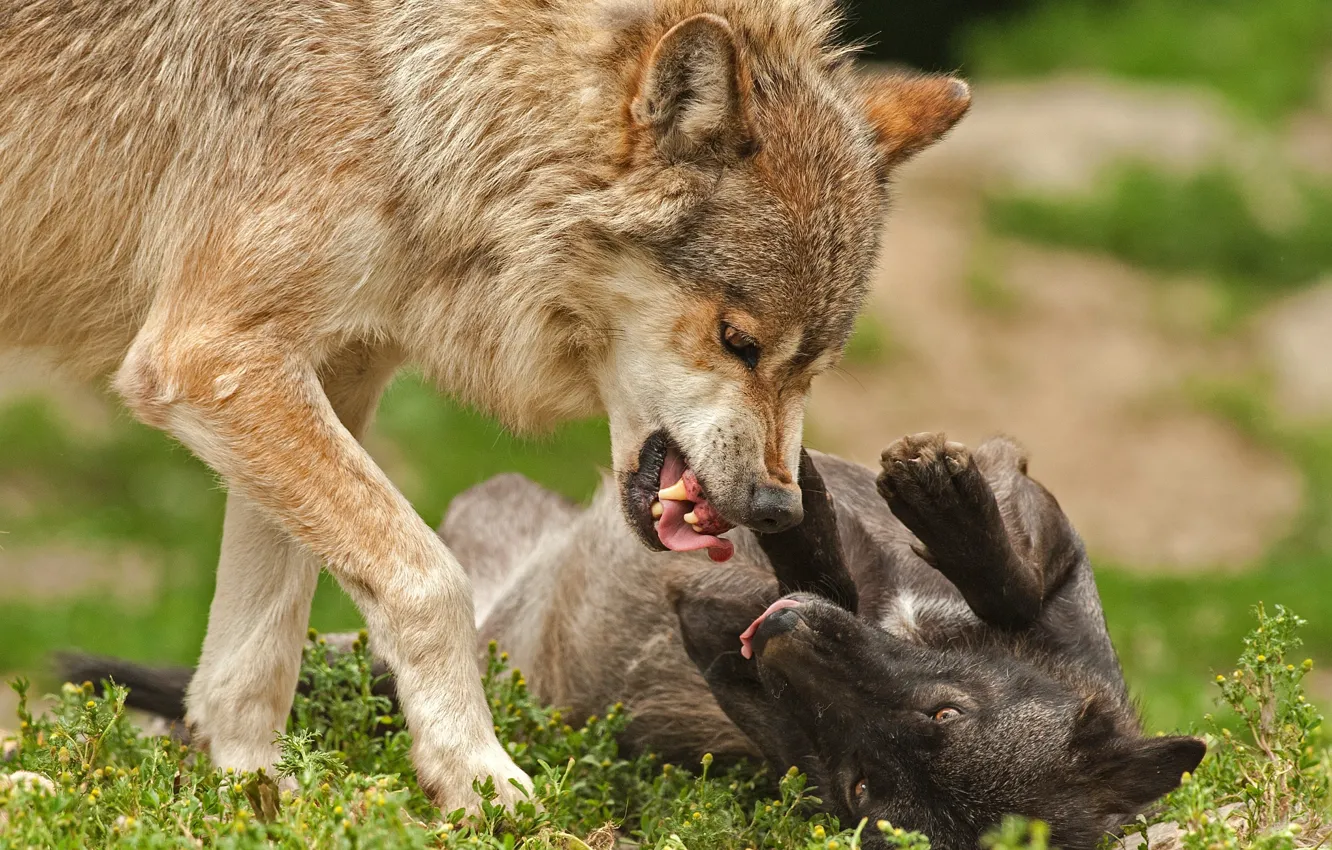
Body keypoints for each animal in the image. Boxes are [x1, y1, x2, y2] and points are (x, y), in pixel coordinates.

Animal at [0, 0, 971, 808]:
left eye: (814, 368)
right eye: (738, 341)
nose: (778, 507)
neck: (410, 103)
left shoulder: (325, 372)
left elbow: (262, 635)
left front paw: (249, 788)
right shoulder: (211, 356)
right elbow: (429, 581)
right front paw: (476, 776)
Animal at [72, 433, 1204, 847]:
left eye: (862, 792)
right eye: (943, 708)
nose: (773, 638)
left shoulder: (749, 671)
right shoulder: (1038, 542)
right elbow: (998, 559)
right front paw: (934, 503)